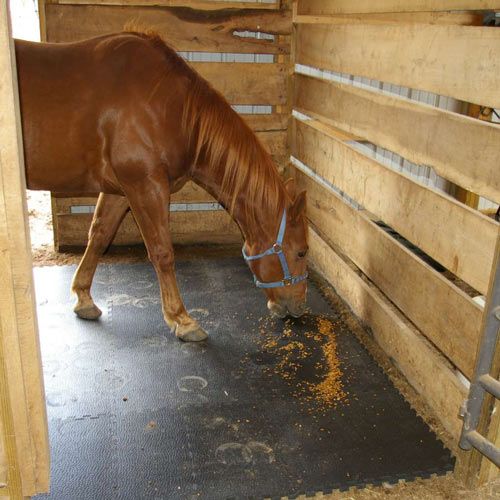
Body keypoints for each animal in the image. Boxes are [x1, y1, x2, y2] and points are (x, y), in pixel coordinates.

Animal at [14, 31, 308, 342]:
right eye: (301, 252)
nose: (300, 307)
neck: (171, 108)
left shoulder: (120, 190)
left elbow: (99, 235)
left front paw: (83, 299)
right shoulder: (145, 184)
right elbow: (162, 252)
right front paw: (182, 319)